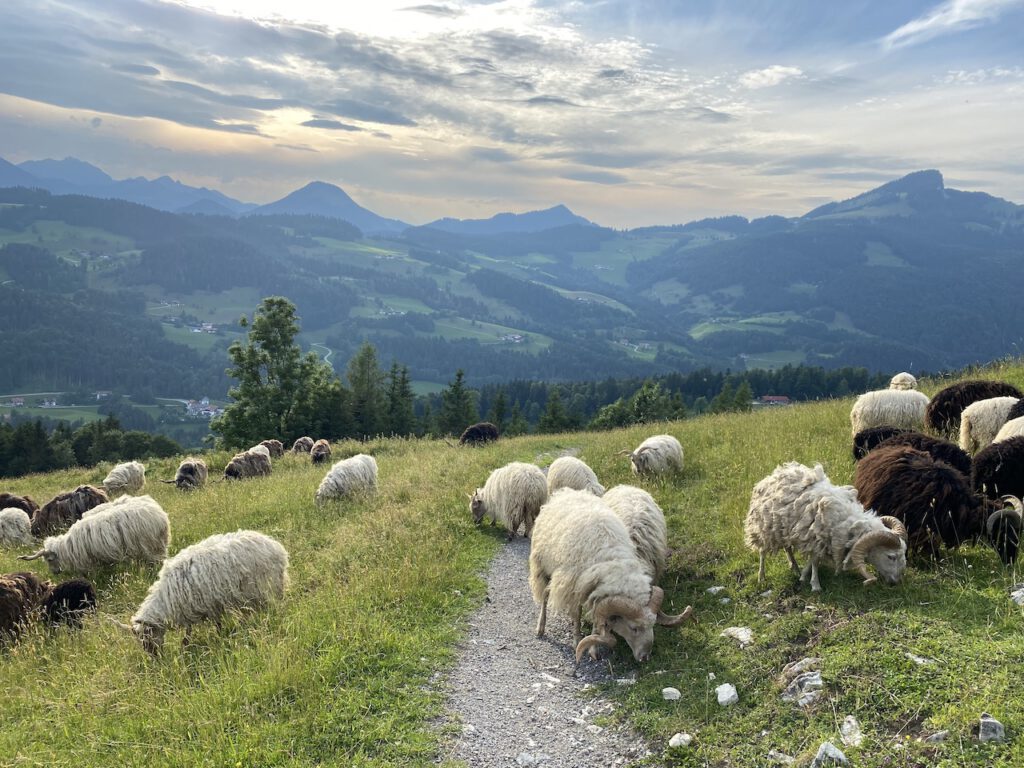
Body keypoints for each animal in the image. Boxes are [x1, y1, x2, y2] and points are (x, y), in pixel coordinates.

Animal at [117, 536, 290, 655]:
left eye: (146, 638)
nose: (155, 658)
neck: (166, 600)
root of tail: (277, 547)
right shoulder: (190, 610)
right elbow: (189, 631)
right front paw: (185, 645)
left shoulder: (210, 605)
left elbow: (216, 625)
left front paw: (218, 637)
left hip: (268, 587)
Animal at [528, 489, 688, 663]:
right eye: (634, 628)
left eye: (653, 625)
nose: (645, 657)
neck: (614, 563)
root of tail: (568, 492)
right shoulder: (574, 588)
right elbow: (577, 614)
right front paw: (577, 640)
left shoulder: (597, 595)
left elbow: (597, 620)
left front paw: (593, 648)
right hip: (542, 566)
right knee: (544, 596)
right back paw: (540, 627)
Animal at [745, 460, 905, 593]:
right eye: (891, 557)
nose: (896, 583)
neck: (847, 521)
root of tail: (773, 475)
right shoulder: (815, 537)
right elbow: (815, 561)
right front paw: (815, 584)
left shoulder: (816, 539)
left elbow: (812, 560)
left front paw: (804, 575)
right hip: (763, 527)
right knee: (762, 552)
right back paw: (761, 577)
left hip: (783, 527)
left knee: (787, 547)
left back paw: (794, 567)